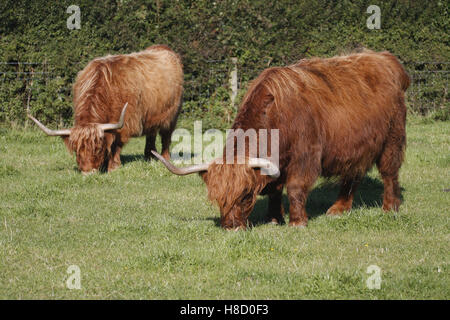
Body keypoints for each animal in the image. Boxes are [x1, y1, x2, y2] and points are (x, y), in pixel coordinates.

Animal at [28, 44, 183, 174]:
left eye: (97, 149)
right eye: (77, 150)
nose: (88, 173)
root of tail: (163, 47)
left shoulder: (124, 123)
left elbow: (116, 145)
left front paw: (113, 166)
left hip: (172, 115)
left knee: (166, 136)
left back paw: (165, 158)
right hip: (151, 115)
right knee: (151, 134)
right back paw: (149, 157)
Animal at [153, 49, 410, 230]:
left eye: (246, 195)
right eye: (217, 199)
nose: (231, 227)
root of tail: (386, 59)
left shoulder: (305, 156)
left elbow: (295, 187)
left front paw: (297, 222)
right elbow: (275, 189)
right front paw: (275, 218)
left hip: (392, 137)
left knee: (389, 172)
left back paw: (390, 207)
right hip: (356, 146)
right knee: (353, 172)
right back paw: (338, 209)